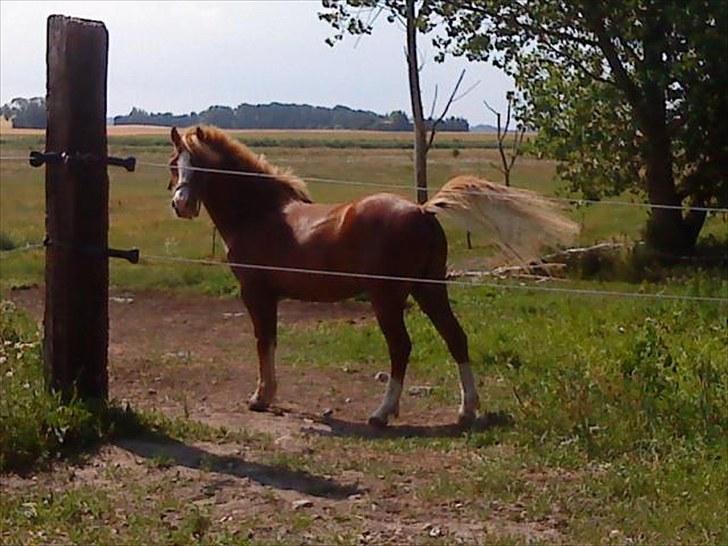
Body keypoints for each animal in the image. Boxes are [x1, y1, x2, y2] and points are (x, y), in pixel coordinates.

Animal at [168, 126, 576, 424]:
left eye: (198, 165)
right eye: (175, 163)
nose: (181, 204)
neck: (262, 213)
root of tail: (423, 210)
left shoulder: (256, 293)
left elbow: (263, 341)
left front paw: (261, 397)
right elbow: (269, 341)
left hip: (387, 298)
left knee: (401, 347)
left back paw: (382, 413)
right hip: (429, 290)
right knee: (456, 338)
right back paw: (466, 409)